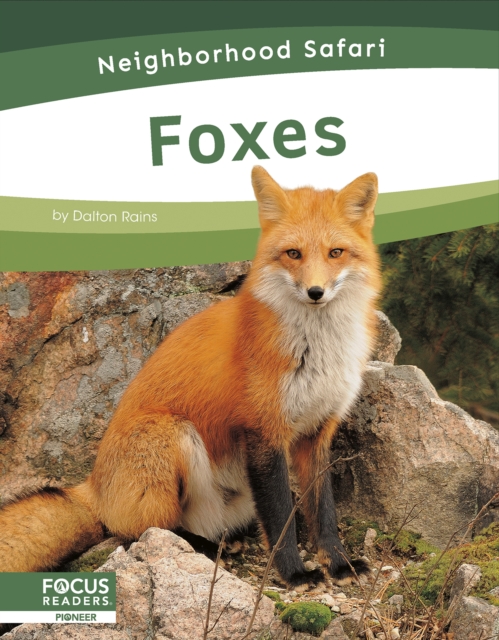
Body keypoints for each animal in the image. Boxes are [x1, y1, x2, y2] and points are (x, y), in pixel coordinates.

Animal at [0, 166, 381, 589]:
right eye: (293, 253)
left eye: (336, 253)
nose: (316, 292)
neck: (316, 350)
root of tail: (94, 485)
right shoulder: (264, 431)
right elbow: (280, 514)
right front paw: (294, 573)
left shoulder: (317, 431)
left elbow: (323, 511)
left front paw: (340, 564)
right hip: (171, 435)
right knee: (145, 530)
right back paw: (201, 545)